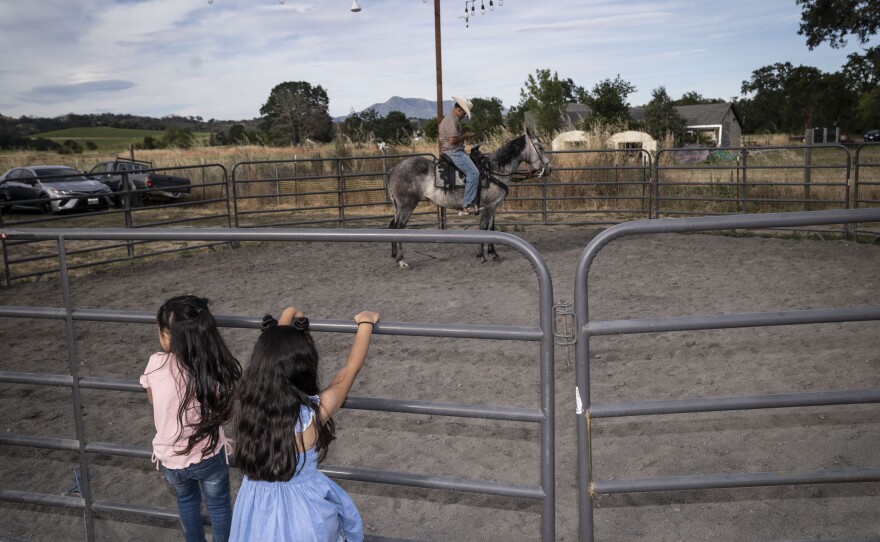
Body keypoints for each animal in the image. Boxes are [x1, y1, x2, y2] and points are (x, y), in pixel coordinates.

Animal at [384, 130, 552, 270]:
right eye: (540, 147)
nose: (549, 169)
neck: (494, 171)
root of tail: (394, 169)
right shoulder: (488, 207)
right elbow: (484, 229)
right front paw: (481, 256)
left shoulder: (493, 207)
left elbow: (492, 229)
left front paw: (493, 254)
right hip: (407, 205)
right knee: (398, 228)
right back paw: (401, 260)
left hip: (399, 207)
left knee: (392, 226)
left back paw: (394, 256)